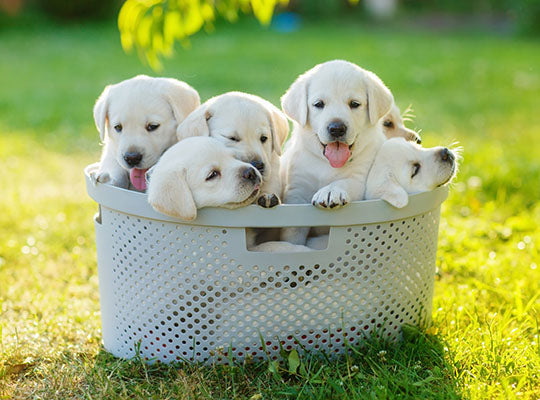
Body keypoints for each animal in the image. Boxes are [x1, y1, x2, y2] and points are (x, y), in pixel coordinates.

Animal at [282, 59, 392, 245]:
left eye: (354, 104)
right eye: (319, 104)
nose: (337, 128)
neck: (326, 164)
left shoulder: (360, 179)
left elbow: (345, 182)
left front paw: (330, 191)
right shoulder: (296, 191)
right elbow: (293, 232)